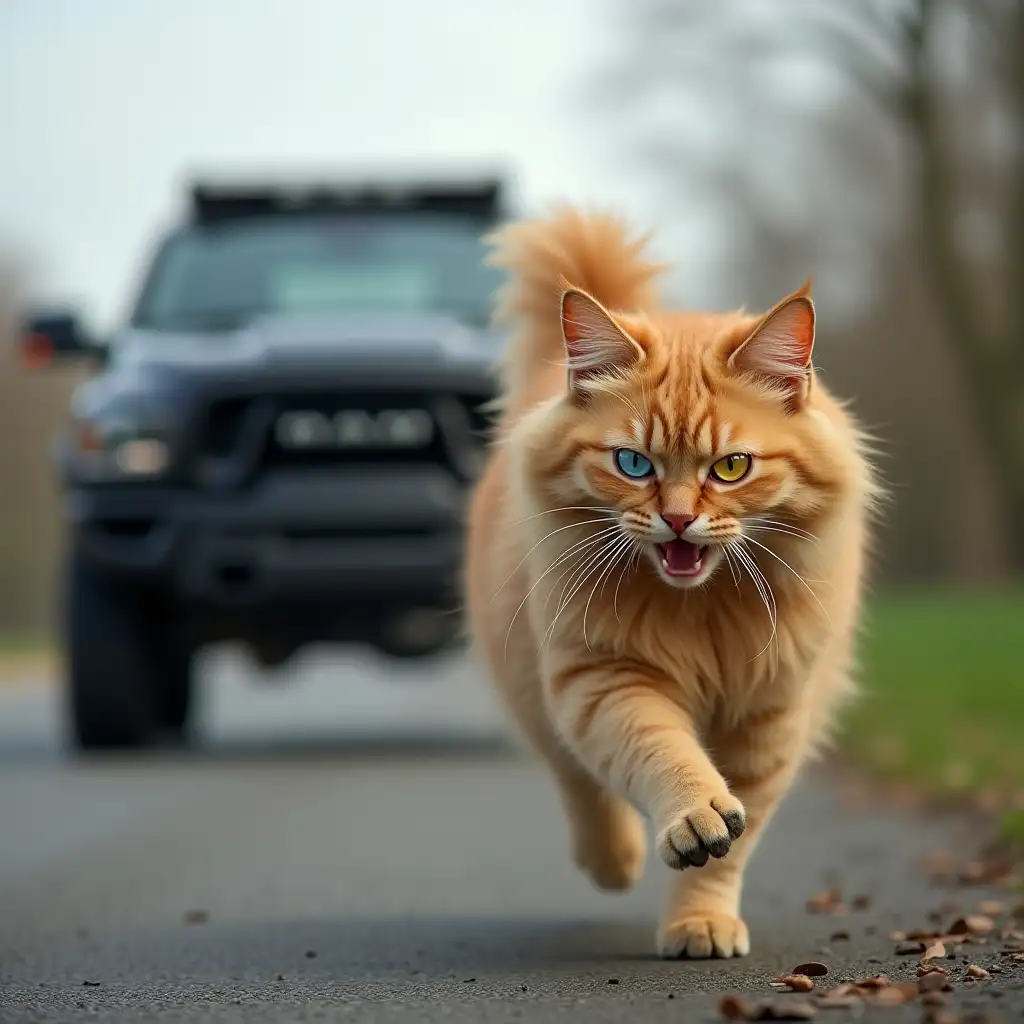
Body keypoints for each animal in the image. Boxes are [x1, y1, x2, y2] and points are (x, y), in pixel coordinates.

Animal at [468, 205, 876, 958]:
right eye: (633, 463)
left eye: (732, 467)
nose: (680, 519)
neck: (702, 609)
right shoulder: (606, 679)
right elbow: (665, 755)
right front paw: (691, 818)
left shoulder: (768, 717)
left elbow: (733, 849)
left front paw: (700, 922)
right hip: (537, 684)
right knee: (576, 779)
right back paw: (613, 862)